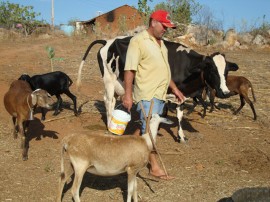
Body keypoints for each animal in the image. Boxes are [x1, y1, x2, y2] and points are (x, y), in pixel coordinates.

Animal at [76, 36, 238, 142]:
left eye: (226, 71)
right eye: (212, 70)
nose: (225, 92)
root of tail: (107, 41)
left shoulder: (179, 93)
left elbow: (177, 115)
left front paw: (180, 135)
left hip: (118, 83)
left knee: (113, 101)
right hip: (109, 80)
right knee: (108, 101)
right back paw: (110, 123)